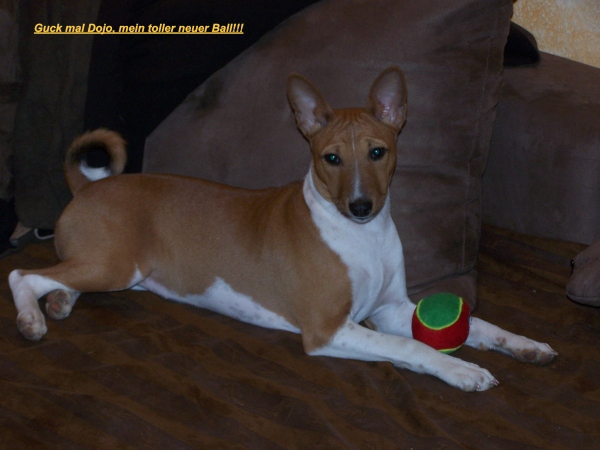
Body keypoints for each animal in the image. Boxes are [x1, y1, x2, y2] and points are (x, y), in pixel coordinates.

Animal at [9, 67, 557, 391]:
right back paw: (32, 318)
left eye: (378, 151)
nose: (361, 205)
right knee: (23, 275)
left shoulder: (392, 309)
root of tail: (86, 187)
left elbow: (479, 325)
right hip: (117, 263)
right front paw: (461, 369)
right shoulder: (328, 328)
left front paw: (524, 345)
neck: (362, 238)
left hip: (115, 269)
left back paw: (59, 302)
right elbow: (412, 347)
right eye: (330, 158)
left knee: (59, 275)